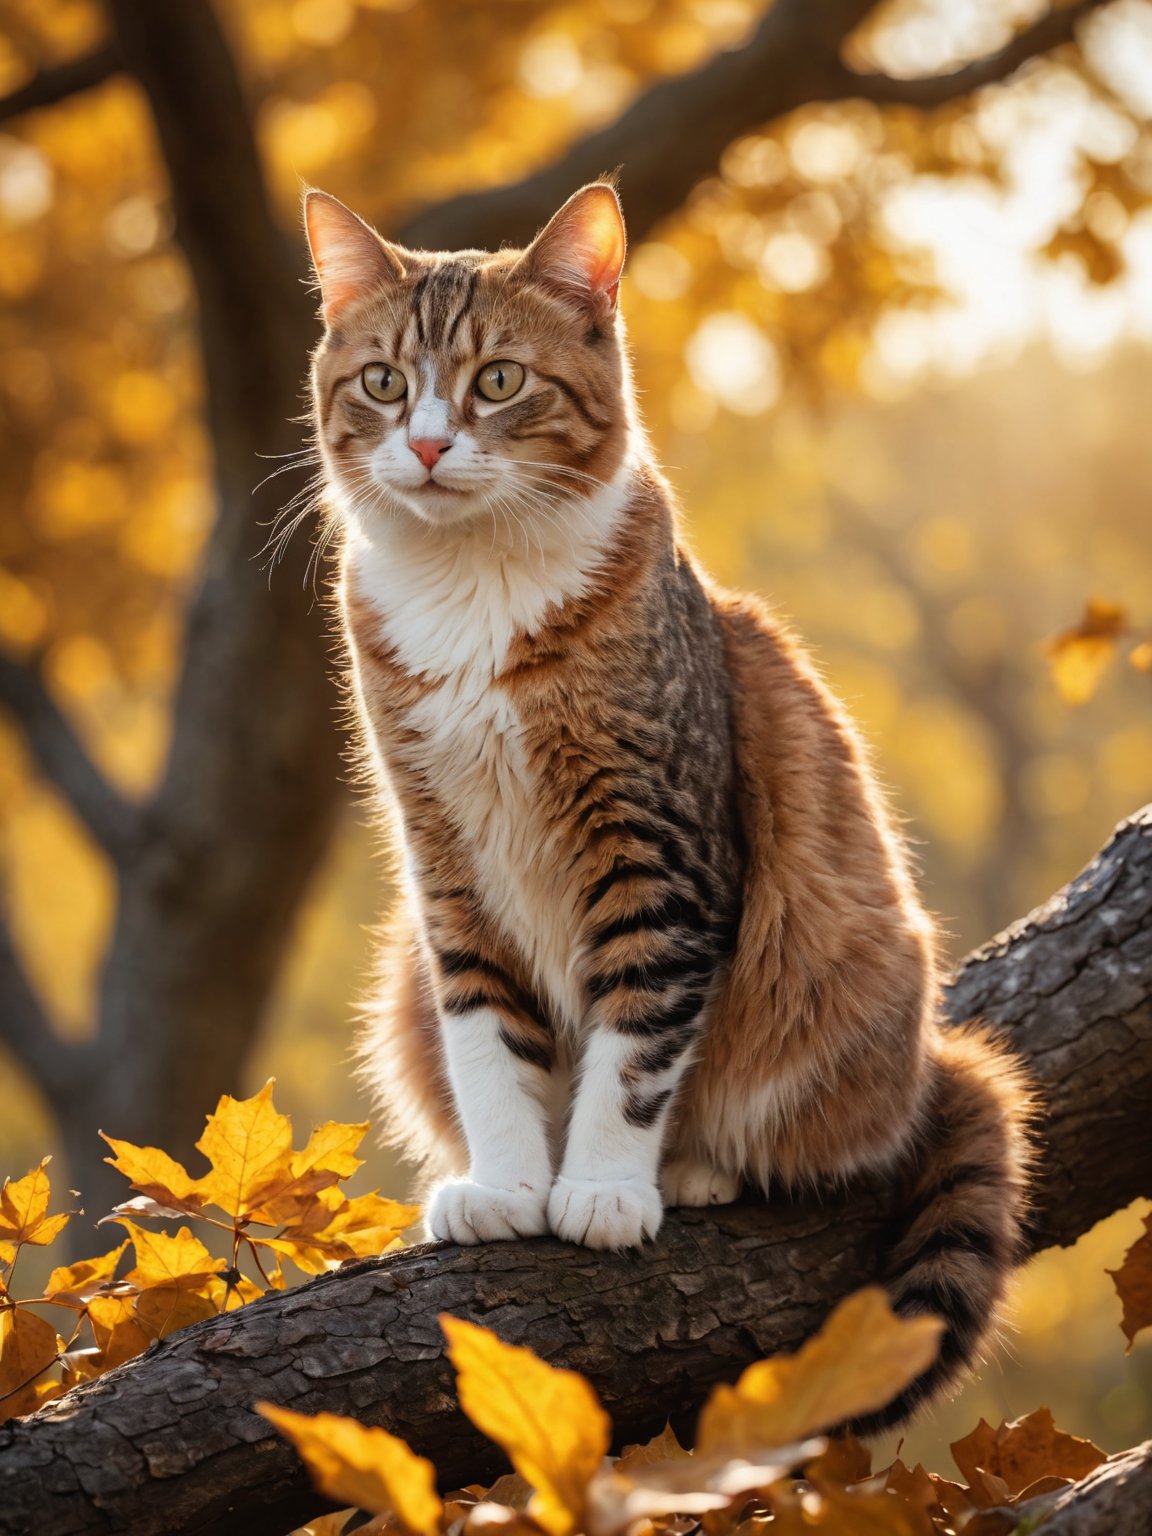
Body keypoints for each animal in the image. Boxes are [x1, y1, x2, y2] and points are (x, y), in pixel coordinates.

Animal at [302, 176, 1032, 1413]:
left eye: (499, 380)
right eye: (385, 383)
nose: (432, 444)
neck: (474, 587)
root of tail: (932, 1059)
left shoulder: (658, 845)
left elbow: (636, 1038)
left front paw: (600, 1185)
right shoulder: (444, 863)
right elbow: (485, 1038)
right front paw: (510, 1182)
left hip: (845, 967)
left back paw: (694, 1169)